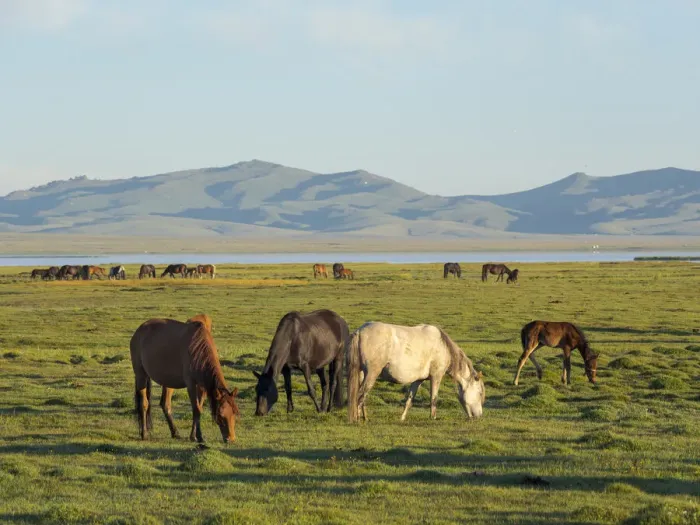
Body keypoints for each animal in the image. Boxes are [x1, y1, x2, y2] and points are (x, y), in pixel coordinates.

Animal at [129, 314, 240, 443]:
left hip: (167, 382)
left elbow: (199, 408)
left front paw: (195, 435)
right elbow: (196, 409)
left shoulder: (201, 386)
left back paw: (175, 432)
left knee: (165, 405)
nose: (231, 439)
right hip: (141, 375)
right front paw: (198, 436)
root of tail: (139, 330)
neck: (198, 348)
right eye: (221, 416)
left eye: (235, 413)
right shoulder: (191, 384)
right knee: (144, 404)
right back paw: (144, 434)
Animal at [347, 322, 485, 422]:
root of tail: (359, 332)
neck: (443, 346)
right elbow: (433, 398)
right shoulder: (436, 376)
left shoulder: (418, 380)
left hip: (362, 373)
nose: (479, 416)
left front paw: (402, 418)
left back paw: (365, 417)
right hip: (372, 374)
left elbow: (409, 400)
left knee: (362, 396)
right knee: (360, 395)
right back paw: (357, 419)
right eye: (479, 393)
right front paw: (433, 417)